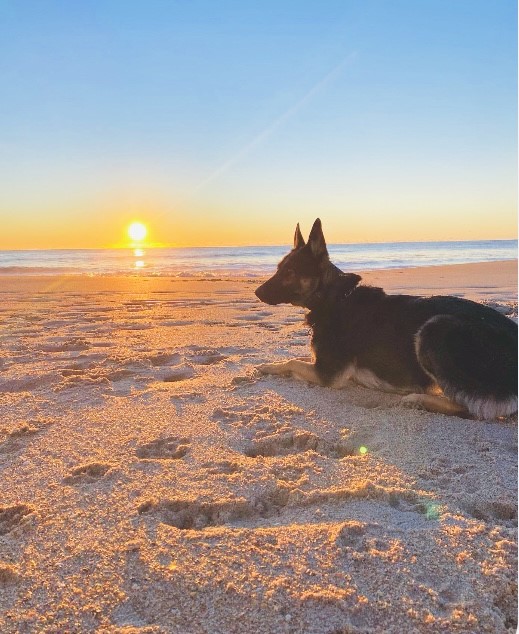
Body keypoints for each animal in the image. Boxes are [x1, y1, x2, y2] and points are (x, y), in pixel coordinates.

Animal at [256, 218, 519, 420]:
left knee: (472, 409)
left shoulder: (328, 374)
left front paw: (266, 366)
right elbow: (296, 359)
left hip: (435, 327)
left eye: (289, 272)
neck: (335, 298)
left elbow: (291, 362)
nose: (256, 292)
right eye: (279, 268)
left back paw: (418, 400)